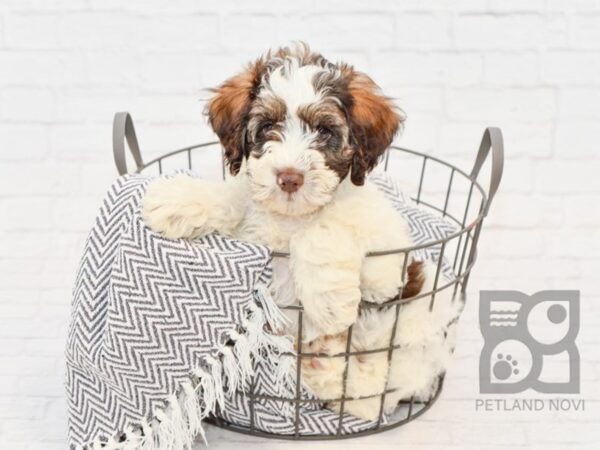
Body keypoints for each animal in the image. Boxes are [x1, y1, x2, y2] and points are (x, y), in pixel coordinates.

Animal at [142, 44, 460, 420]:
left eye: (323, 131)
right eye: (267, 126)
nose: (290, 178)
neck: (290, 217)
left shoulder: (387, 245)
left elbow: (325, 227)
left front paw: (329, 303)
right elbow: (236, 195)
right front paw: (176, 199)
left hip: (417, 314)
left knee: (380, 383)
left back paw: (333, 366)